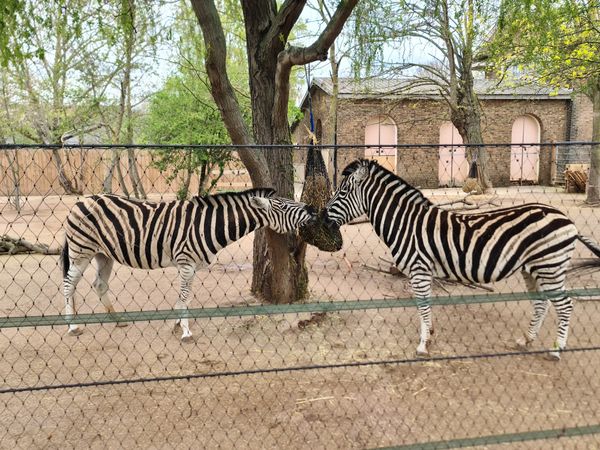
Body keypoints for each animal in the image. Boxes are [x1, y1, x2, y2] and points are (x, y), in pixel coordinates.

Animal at [61, 187, 316, 342]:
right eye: (283, 206)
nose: (313, 209)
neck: (208, 225)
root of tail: (82, 201)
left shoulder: (191, 266)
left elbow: (184, 297)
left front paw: (175, 325)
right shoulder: (185, 263)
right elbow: (185, 297)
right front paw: (185, 332)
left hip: (103, 254)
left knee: (99, 284)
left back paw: (118, 320)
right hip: (81, 251)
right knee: (68, 285)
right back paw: (72, 327)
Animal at [326, 160, 600, 360]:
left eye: (343, 192)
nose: (323, 217)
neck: (406, 223)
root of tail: (567, 219)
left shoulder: (419, 269)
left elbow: (422, 305)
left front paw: (423, 345)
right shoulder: (423, 272)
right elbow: (425, 306)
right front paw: (429, 334)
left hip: (549, 266)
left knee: (565, 305)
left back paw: (556, 349)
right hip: (533, 268)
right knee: (541, 303)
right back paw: (527, 339)